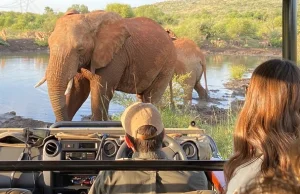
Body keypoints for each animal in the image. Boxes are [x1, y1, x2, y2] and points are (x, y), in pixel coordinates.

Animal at [35, 10, 177, 121]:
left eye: (80, 49)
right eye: (49, 46)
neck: (90, 19)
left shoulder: (115, 56)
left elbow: (100, 92)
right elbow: (78, 91)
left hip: (167, 64)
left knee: (151, 96)